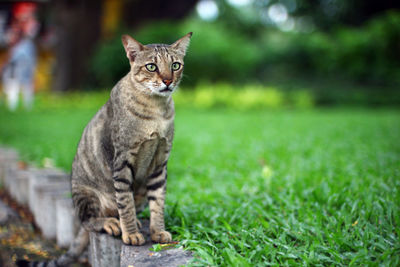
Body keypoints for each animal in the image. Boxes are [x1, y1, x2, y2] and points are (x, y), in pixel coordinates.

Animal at [18, 32, 192, 266]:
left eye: (175, 65)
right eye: (151, 67)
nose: (167, 80)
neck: (156, 111)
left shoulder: (159, 163)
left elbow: (158, 203)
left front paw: (157, 231)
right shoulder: (121, 161)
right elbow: (125, 202)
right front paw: (131, 234)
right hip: (87, 195)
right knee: (89, 220)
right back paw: (112, 223)